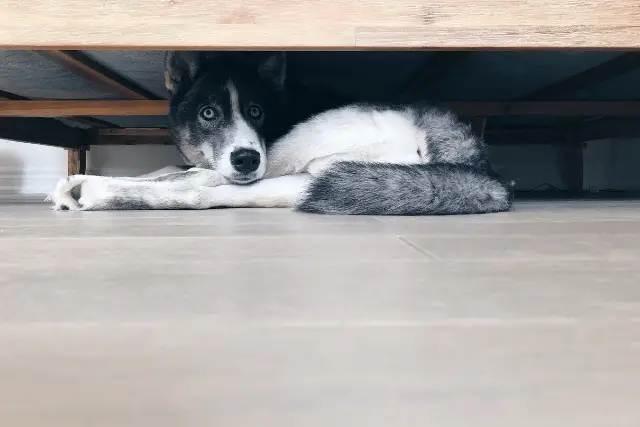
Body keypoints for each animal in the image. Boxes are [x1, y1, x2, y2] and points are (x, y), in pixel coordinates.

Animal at [47, 51, 512, 216]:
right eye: (208, 112)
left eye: (256, 111)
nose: (246, 159)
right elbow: (167, 168)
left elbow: (189, 177)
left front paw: (87, 185)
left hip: (304, 148)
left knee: (201, 190)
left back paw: (96, 191)